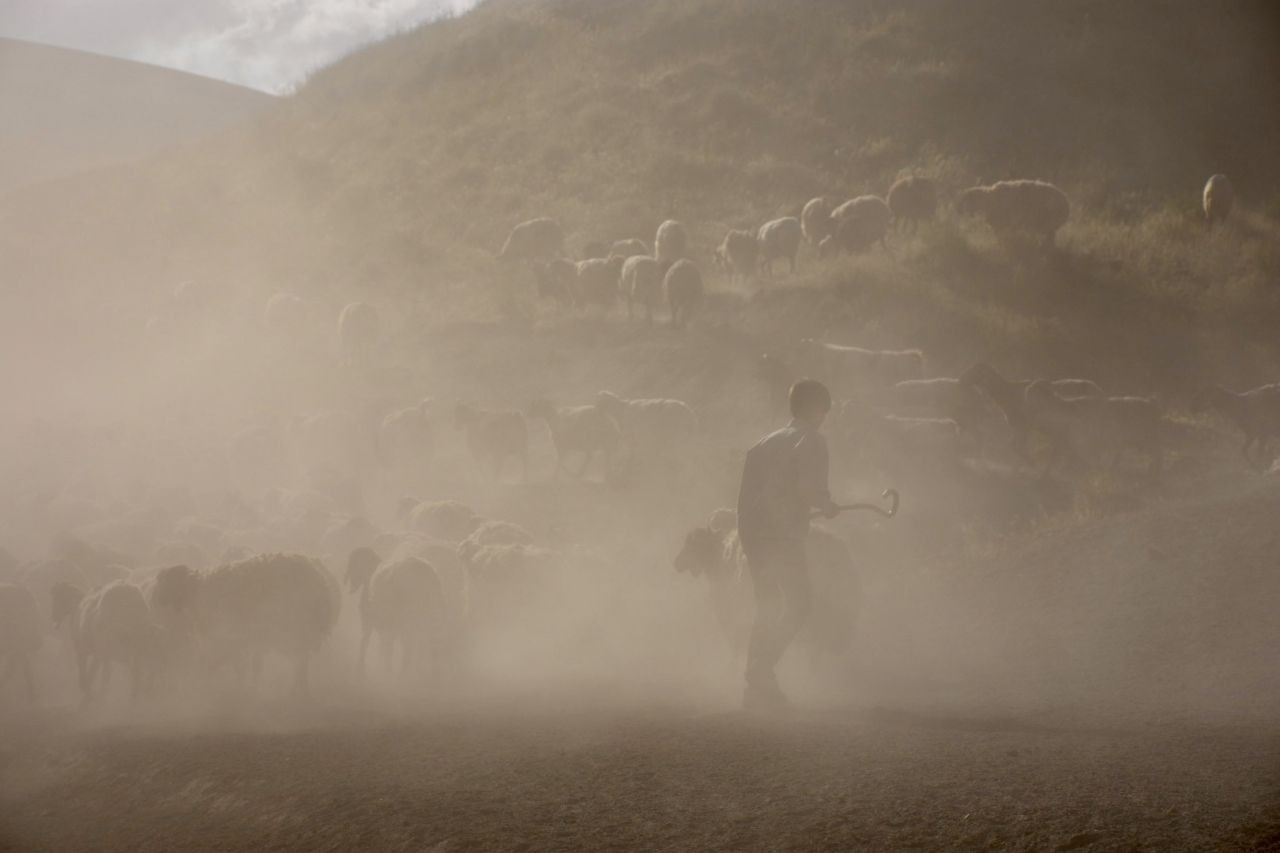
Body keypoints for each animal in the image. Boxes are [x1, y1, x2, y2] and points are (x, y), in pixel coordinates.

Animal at [149, 550, 337, 696]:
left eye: (165, 583)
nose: (158, 601)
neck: (196, 592)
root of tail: (322, 583)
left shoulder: (224, 637)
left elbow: (226, 666)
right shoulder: (238, 640)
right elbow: (244, 666)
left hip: (295, 630)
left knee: (300, 663)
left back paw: (297, 693)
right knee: (301, 664)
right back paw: (301, 692)